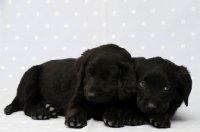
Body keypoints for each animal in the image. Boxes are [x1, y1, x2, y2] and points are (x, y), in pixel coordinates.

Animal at [4, 44, 138, 128]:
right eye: (88, 73)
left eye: (109, 77)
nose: (90, 95)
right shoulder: (79, 95)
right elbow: (76, 108)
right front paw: (75, 119)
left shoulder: (119, 100)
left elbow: (115, 107)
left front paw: (113, 117)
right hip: (31, 76)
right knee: (28, 106)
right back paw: (39, 111)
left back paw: (51, 109)